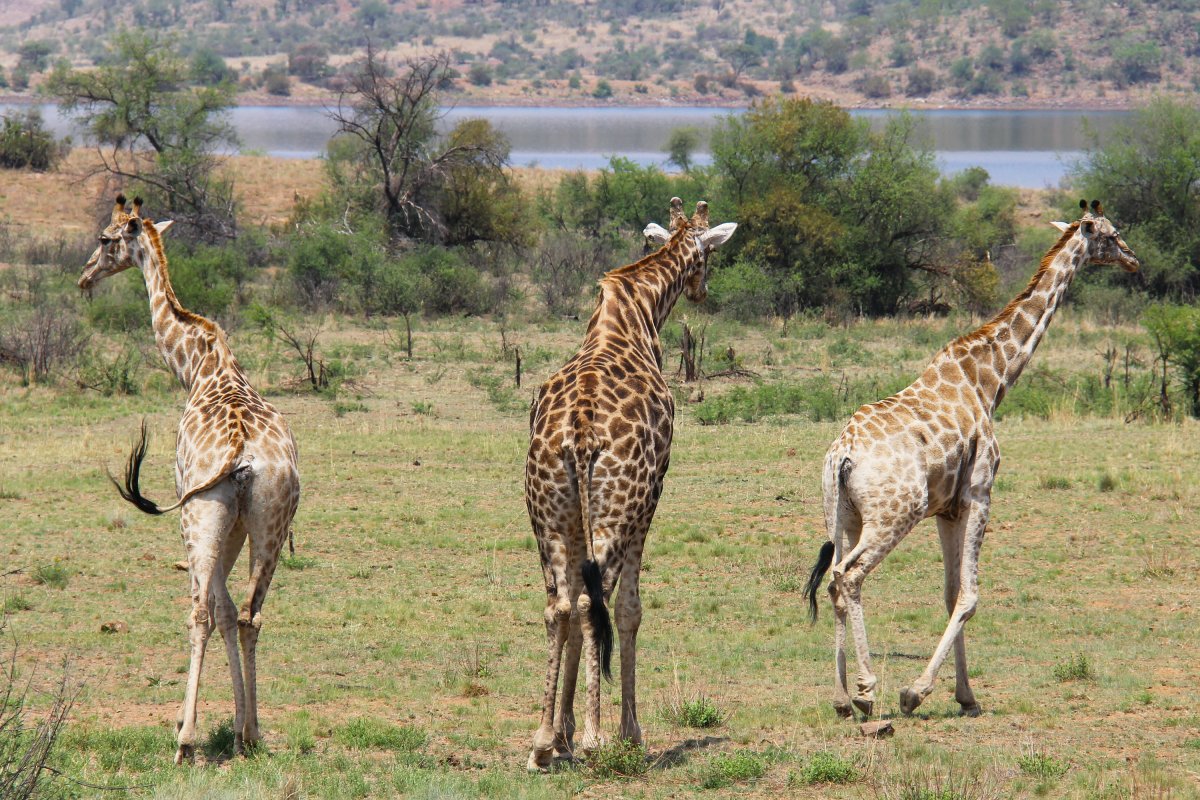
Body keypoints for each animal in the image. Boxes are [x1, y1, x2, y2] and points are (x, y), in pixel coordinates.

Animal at [78, 195, 300, 762]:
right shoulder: (240, 524)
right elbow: (232, 610)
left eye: (106, 238)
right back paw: (252, 734)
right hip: (269, 522)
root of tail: (244, 455)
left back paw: (184, 740)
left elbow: (212, 608)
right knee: (249, 615)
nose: (85, 277)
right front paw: (242, 727)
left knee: (200, 610)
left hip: (197, 516)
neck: (198, 365)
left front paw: (193, 725)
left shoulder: (196, 509)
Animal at [523, 195, 729, 767]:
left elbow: (576, 609)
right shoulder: (650, 500)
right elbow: (630, 609)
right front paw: (625, 731)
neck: (637, 307)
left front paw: (564, 732)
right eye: (709, 253)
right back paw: (599, 739)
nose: (703, 292)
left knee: (560, 605)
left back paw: (542, 743)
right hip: (617, 509)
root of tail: (579, 433)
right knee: (594, 604)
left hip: (549, 513)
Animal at [806, 200, 1132, 719]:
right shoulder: (980, 492)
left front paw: (966, 696)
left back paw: (841, 698)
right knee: (850, 576)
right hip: (894, 515)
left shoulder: (948, 509)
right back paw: (867, 690)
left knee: (835, 578)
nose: (1133, 260)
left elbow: (949, 592)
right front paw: (915, 692)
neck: (992, 378)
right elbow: (971, 596)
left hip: (842, 516)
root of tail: (843, 454)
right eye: (1112, 234)